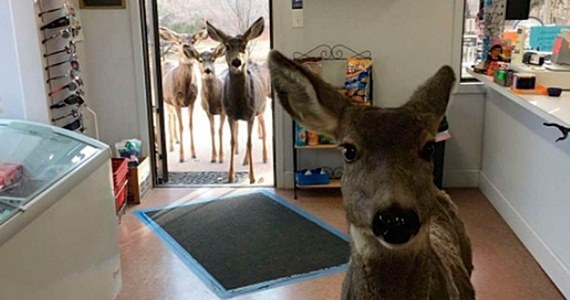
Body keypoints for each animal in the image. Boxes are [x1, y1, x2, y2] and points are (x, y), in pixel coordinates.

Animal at [158, 27, 206, 163]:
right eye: (179, 41)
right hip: (165, 100)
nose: (186, 46)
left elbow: (190, 125)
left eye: (193, 41)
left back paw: (176, 140)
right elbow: (181, 126)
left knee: (172, 116)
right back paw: (170, 145)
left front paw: (193, 153)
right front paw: (181, 156)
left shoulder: (193, 101)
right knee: (169, 117)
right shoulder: (175, 100)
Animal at [205, 17, 270, 184]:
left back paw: (265, 157)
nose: (236, 62)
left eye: (244, 46)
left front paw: (252, 177)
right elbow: (233, 142)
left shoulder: (251, 114)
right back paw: (245, 161)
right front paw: (230, 175)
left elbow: (250, 142)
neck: (240, 103)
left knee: (263, 130)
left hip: (262, 108)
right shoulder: (230, 115)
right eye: (227, 46)